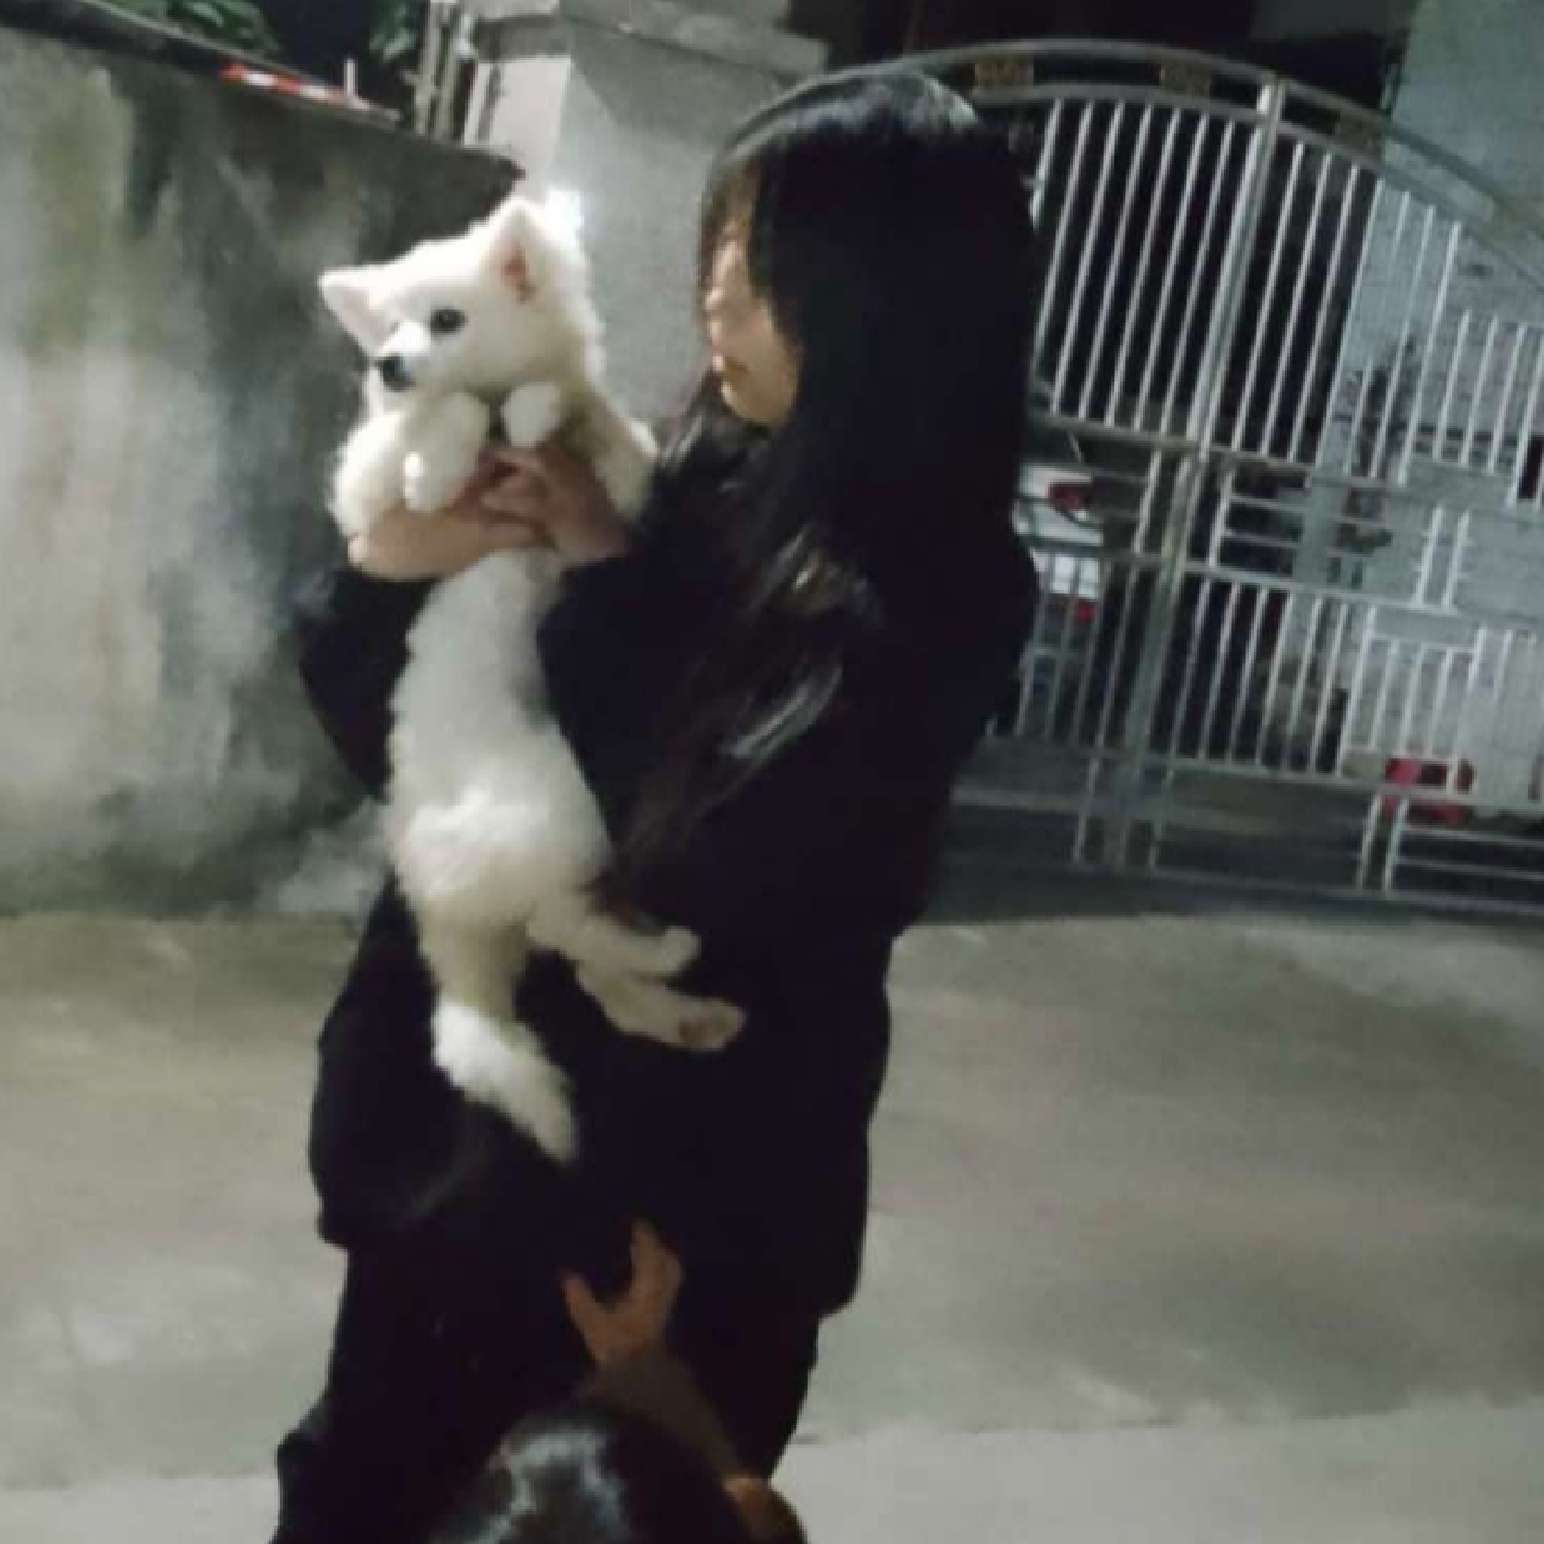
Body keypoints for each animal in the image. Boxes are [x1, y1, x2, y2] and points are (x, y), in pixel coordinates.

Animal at [319, 192, 742, 1164]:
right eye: (386, 331)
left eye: (445, 320)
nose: (388, 366)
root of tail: (449, 918)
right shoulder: (366, 494)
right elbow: (429, 428)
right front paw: (441, 461)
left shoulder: (621, 482)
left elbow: (583, 416)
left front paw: (537, 409)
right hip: (553, 811)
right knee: (563, 931)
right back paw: (669, 965)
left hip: (568, 812)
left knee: (582, 959)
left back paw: (681, 1000)